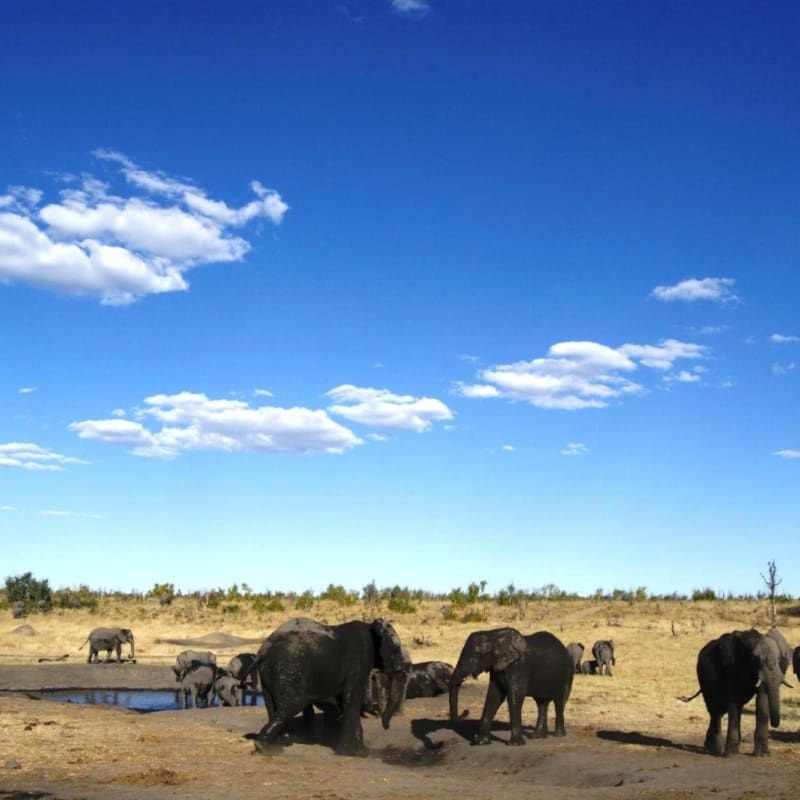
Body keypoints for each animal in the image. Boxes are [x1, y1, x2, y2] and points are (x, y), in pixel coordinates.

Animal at [248, 617, 408, 756]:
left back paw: (272, 748)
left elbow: (345, 702)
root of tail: (262, 651)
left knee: (272, 707)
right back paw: (265, 747)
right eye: (397, 647)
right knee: (292, 705)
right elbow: (352, 698)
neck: (371, 626)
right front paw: (351, 754)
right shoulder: (360, 658)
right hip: (287, 670)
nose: (386, 727)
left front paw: (360, 752)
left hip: (269, 675)